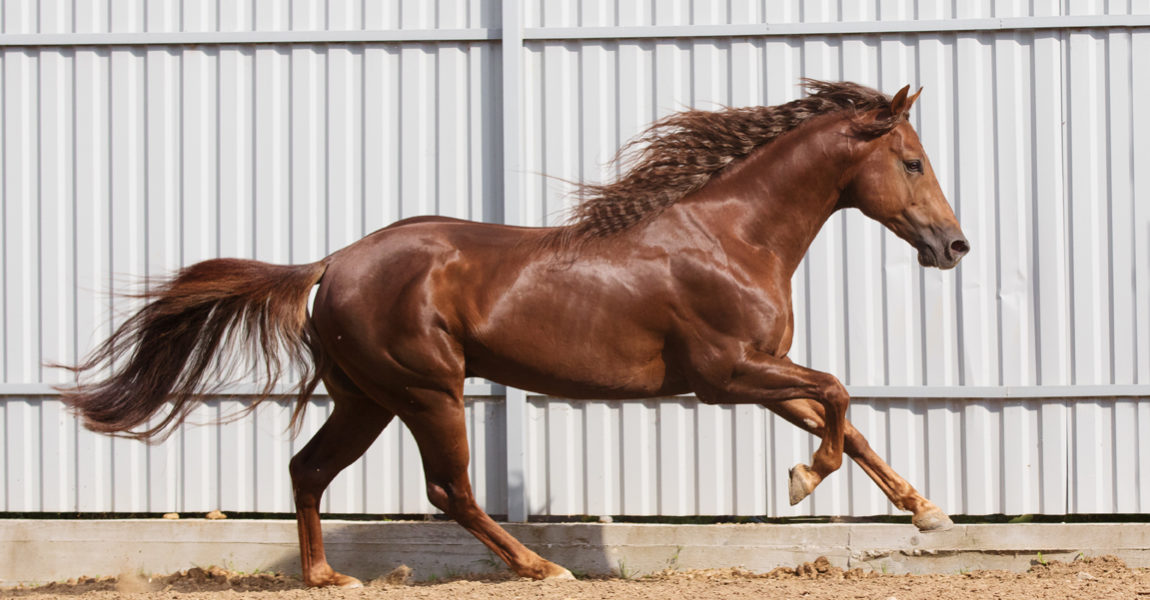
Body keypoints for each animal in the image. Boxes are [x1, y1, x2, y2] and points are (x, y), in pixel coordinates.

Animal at [58, 79, 966, 583]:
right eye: (913, 161)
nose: (953, 247)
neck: (732, 236)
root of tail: (331, 265)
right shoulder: (728, 375)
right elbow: (838, 397)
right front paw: (803, 481)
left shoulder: (761, 370)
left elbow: (848, 422)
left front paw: (927, 513)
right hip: (428, 390)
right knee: (447, 490)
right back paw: (541, 566)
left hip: (367, 399)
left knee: (308, 469)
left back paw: (327, 578)